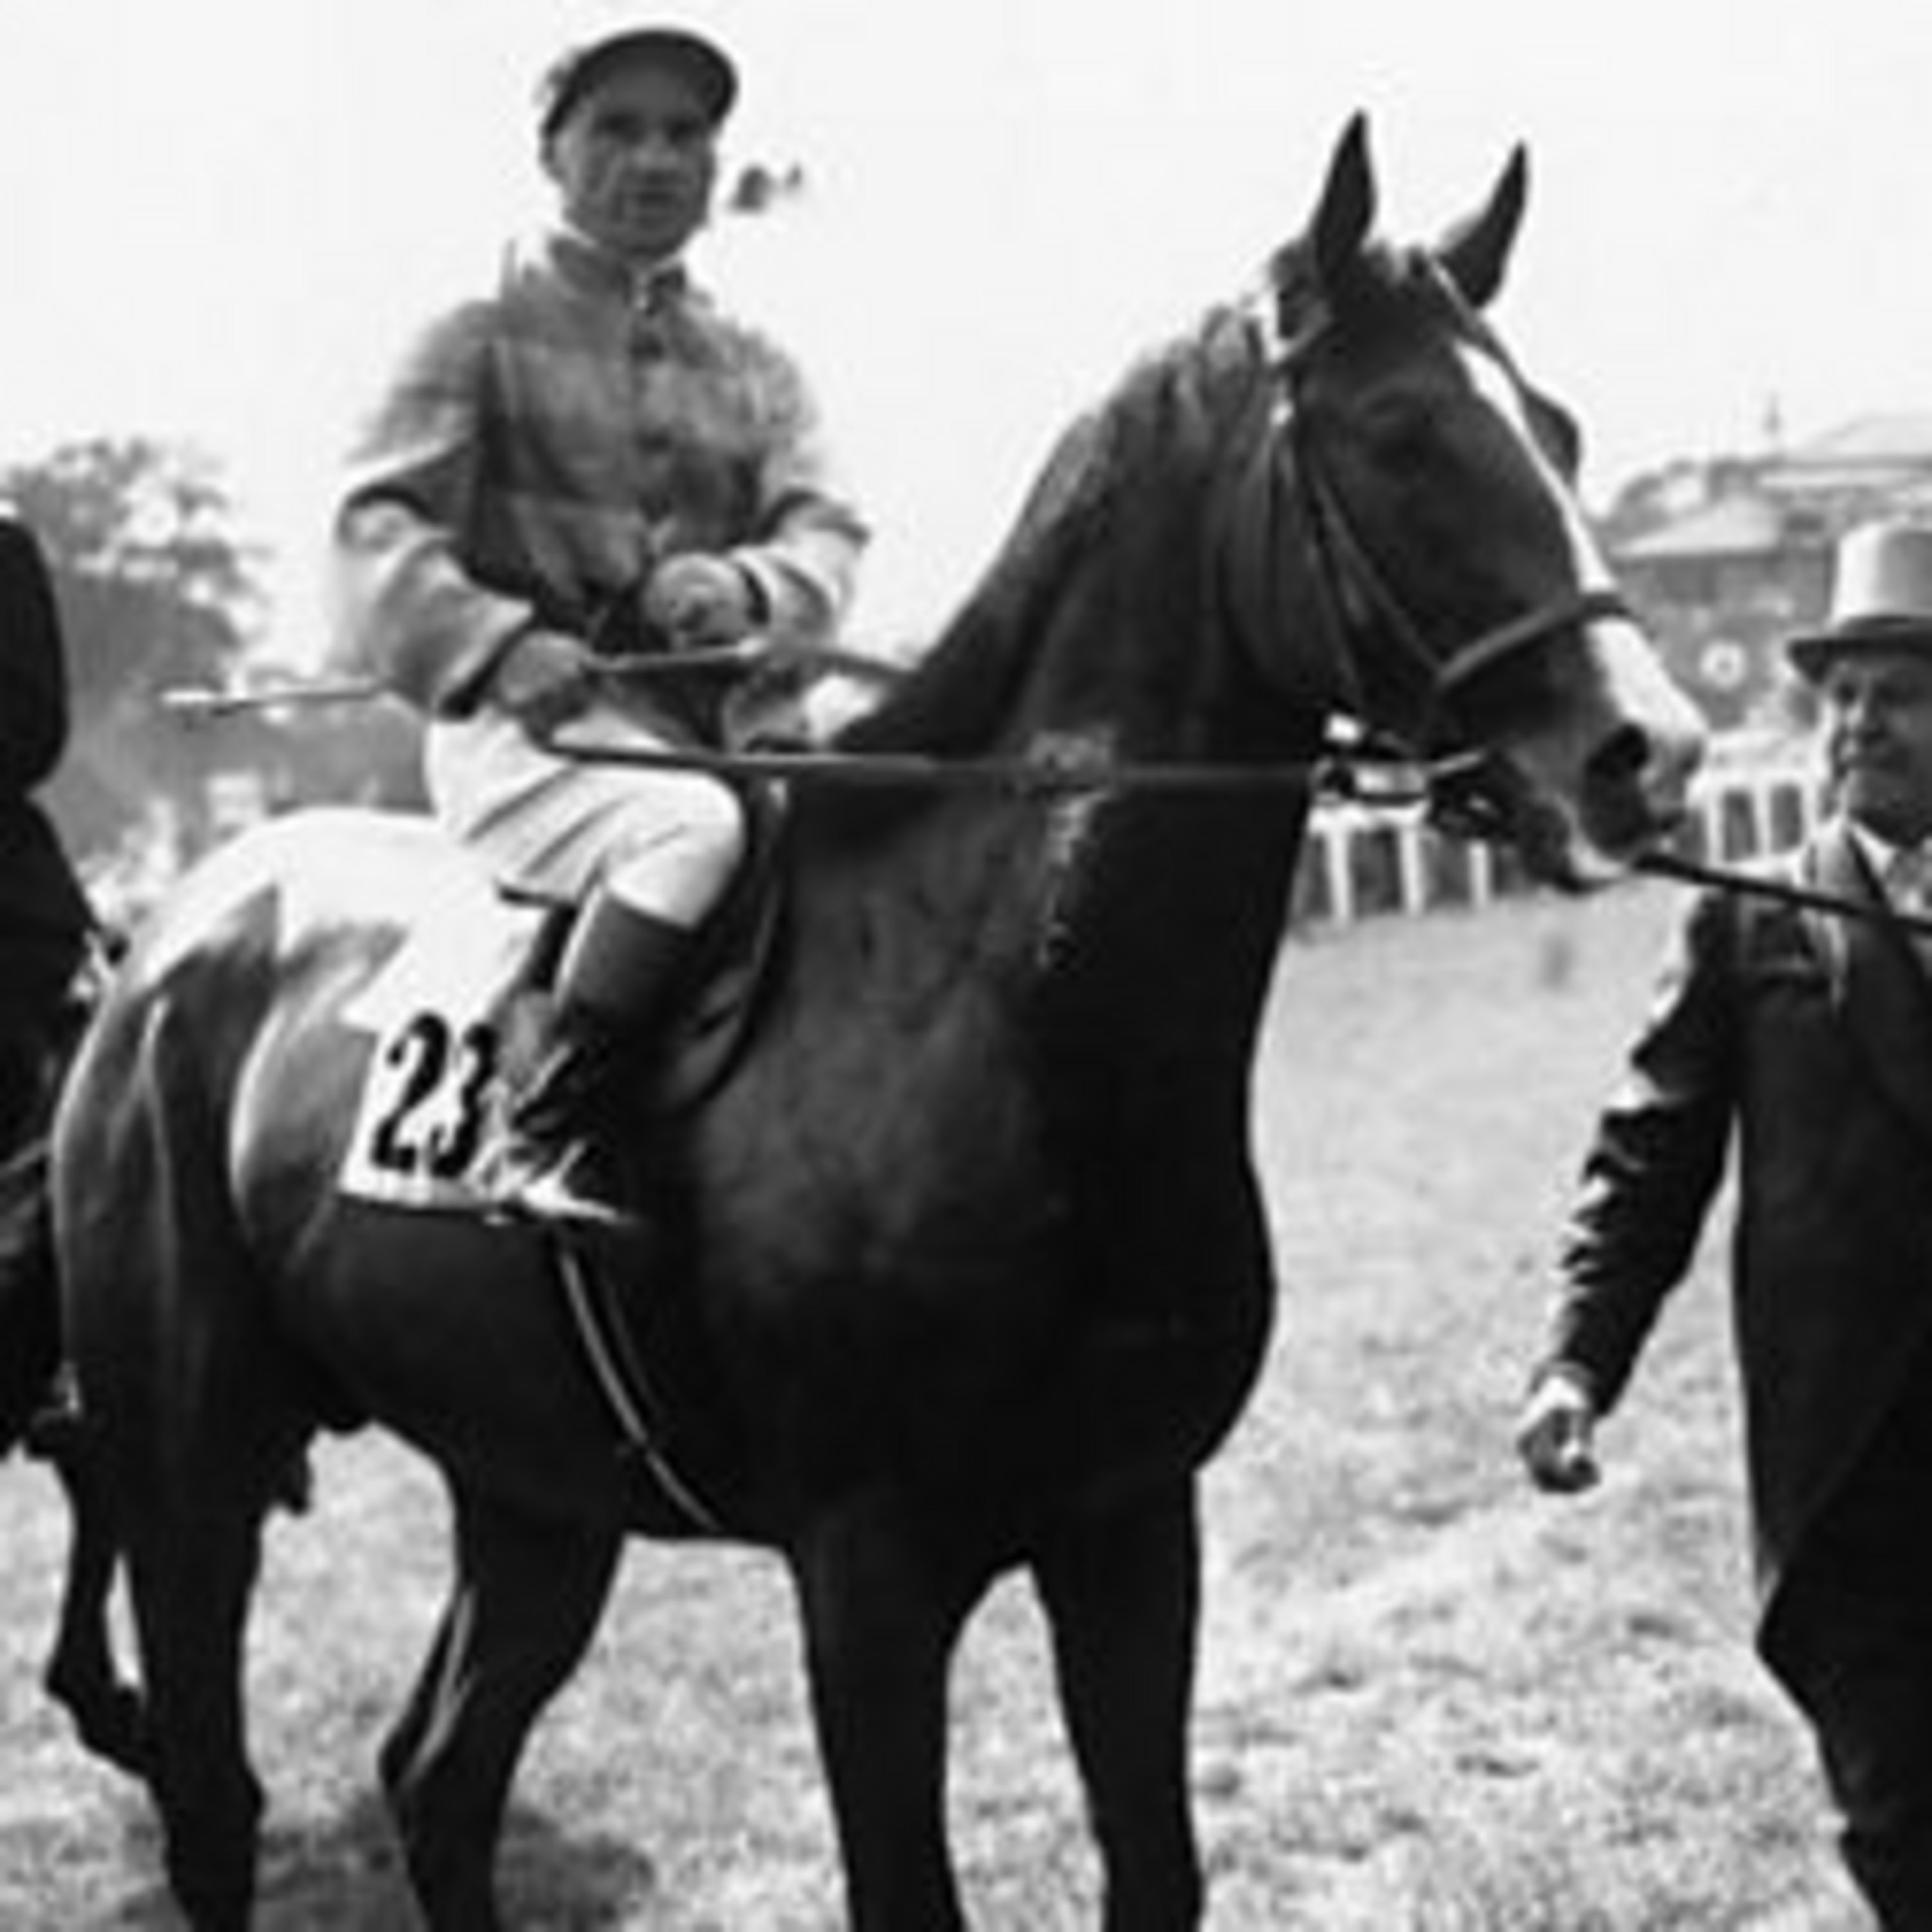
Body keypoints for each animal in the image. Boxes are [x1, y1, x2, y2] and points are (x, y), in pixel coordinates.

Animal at [0, 124, 1700, 1932]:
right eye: (1399, 436)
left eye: (1558, 428)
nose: (1645, 751)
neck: (1004, 1022)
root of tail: (171, 940)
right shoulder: (869, 1576)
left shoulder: (1128, 1526)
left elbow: (1154, 1867)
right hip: (185, 1465)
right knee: (214, 1795)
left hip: (530, 1489)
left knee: (436, 1778)